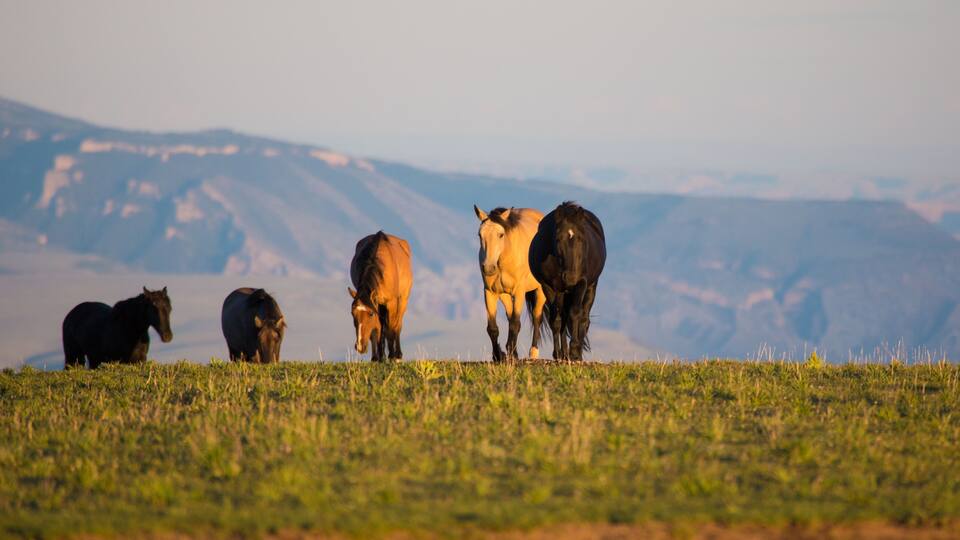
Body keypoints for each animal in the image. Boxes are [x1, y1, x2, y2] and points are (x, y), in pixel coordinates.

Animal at [348, 231, 413, 362]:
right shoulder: (377, 302)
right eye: (352, 313)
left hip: (402, 301)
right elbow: (377, 329)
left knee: (397, 325)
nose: (360, 346)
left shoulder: (391, 303)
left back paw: (397, 355)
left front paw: (392, 356)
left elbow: (391, 329)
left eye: (370, 314)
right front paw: (377, 357)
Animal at [473, 205, 547, 361]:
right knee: (510, 315)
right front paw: (498, 356)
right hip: (504, 295)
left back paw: (533, 353)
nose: (489, 268)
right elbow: (493, 328)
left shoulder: (519, 292)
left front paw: (512, 356)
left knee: (537, 317)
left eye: (501, 235)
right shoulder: (490, 292)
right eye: (480, 235)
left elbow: (515, 324)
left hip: (541, 290)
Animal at [528, 202, 606, 361]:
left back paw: (576, 353)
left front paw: (574, 351)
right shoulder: (549, 287)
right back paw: (564, 354)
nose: (570, 278)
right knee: (563, 318)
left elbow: (575, 314)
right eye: (558, 239)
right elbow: (556, 320)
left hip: (590, 287)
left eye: (581, 238)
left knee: (584, 318)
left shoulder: (581, 284)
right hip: (562, 292)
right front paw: (558, 354)